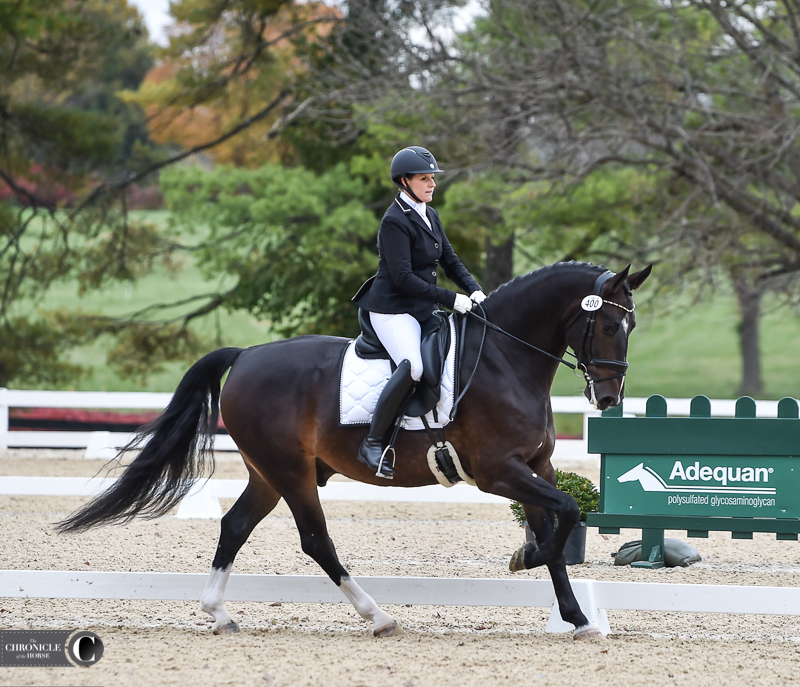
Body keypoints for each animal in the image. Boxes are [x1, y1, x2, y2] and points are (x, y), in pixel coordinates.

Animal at [61, 260, 648, 644]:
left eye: (631, 325)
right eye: (608, 324)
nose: (609, 397)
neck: (505, 358)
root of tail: (246, 355)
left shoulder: (535, 465)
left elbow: (560, 526)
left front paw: (577, 617)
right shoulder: (498, 472)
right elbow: (565, 515)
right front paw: (528, 559)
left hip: (268, 474)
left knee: (235, 526)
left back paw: (219, 613)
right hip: (291, 473)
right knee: (315, 540)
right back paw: (378, 616)